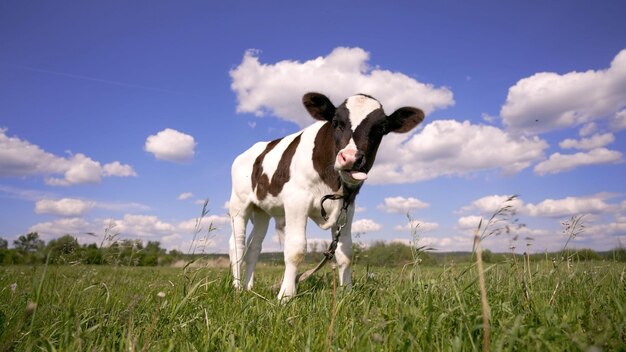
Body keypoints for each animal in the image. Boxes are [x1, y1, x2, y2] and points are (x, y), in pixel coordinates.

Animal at [227, 93, 422, 300]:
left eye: (381, 129)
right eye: (336, 122)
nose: (351, 158)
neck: (333, 182)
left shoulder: (348, 208)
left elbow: (346, 253)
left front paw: (347, 292)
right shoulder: (297, 200)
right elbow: (295, 250)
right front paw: (285, 296)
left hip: (262, 210)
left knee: (254, 247)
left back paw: (249, 287)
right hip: (239, 205)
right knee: (237, 244)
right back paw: (237, 288)